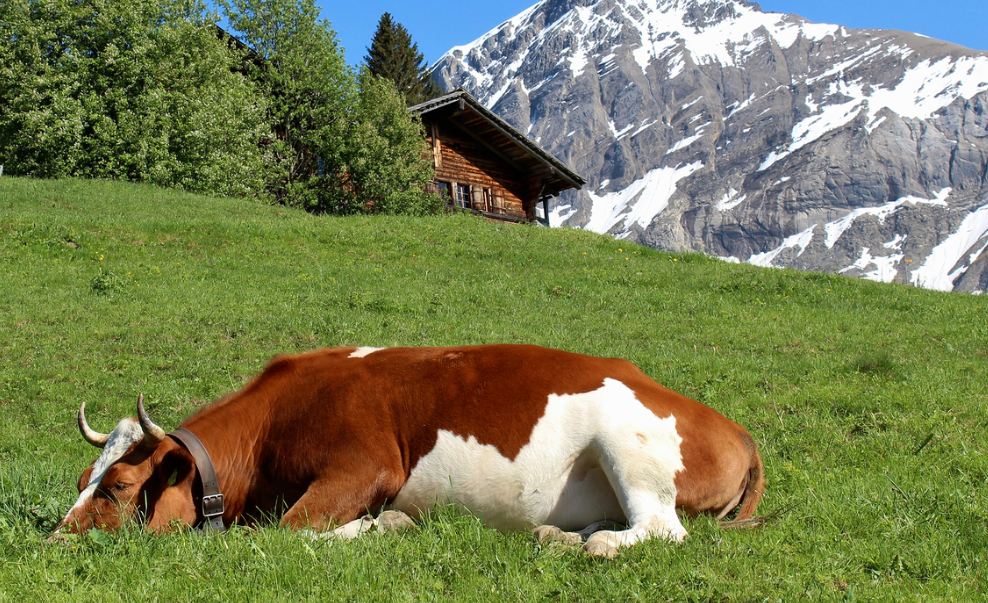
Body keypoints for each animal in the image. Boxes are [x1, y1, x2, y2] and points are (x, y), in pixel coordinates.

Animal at [56, 344, 764, 556]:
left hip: (629, 447)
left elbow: (286, 532)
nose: (56, 538)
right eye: (86, 475)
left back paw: (597, 544)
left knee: (660, 528)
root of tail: (738, 431)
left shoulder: (366, 465)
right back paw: (558, 535)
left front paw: (382, 526)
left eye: (118, 488)